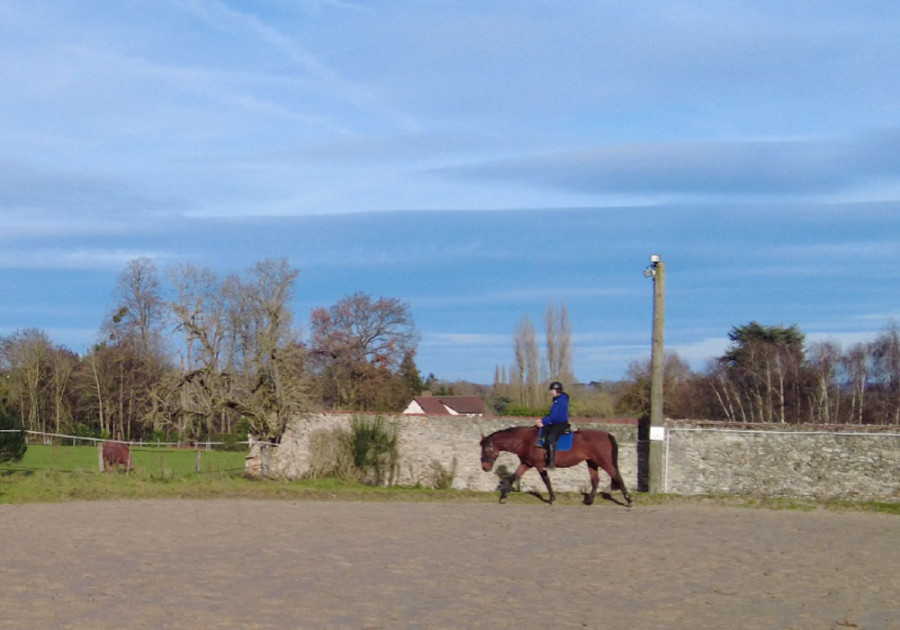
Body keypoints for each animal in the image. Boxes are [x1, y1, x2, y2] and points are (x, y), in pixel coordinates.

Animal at [480, 426, 632, 506]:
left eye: (487, 449)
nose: (484, 467)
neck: (526, 440)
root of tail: (607, 435)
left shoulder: (539, 465)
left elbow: (546, 480)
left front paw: (551, 499)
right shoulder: (527, 463)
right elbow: (514, 476)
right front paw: (503, 497)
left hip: (604, 461)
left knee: (617, 476)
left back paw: (628, 500)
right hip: (592, 462)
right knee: (595, 480)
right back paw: (589, 500)